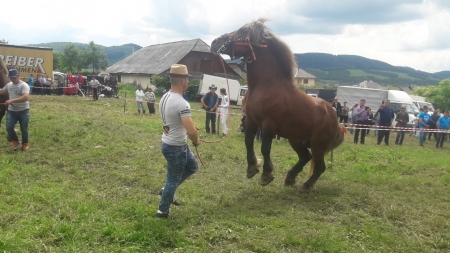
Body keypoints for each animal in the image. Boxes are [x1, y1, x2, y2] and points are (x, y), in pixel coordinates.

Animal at [211, 18, 344, 194]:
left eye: (243, 30)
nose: (214, 42)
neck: (265, 86)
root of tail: (335, 120)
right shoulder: (251, 121)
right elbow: (248, 142)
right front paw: (252, 168)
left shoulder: (268, 125)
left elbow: (265, 148)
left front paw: (266, 175)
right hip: (296, 139)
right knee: (305, 157)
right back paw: (290, 178)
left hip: (318, 145)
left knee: (319, 167)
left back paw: (305, 186)